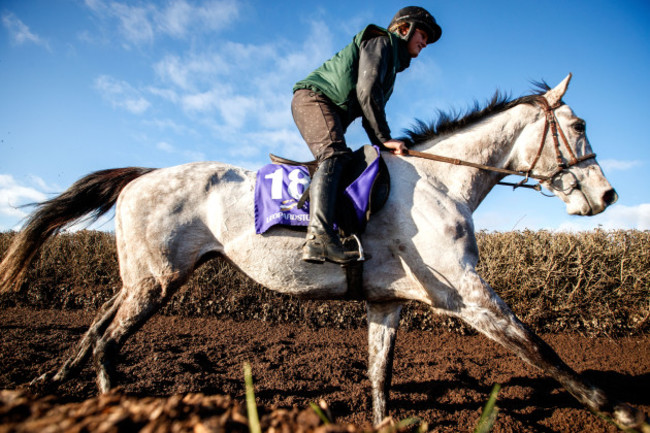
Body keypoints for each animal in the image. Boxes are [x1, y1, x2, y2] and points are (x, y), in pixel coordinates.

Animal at [0, 74, 644, 428]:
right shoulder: (466, 294)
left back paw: (51, 379)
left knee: (97, 327)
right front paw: (619, 409)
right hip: (156, 282)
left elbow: (380, 372)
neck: (440, 182)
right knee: (108, 342)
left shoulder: (387, 301)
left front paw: (385, 423)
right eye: (580, 125)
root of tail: (142, 177)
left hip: (145, 278)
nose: (607, 195)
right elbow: (540, 349)